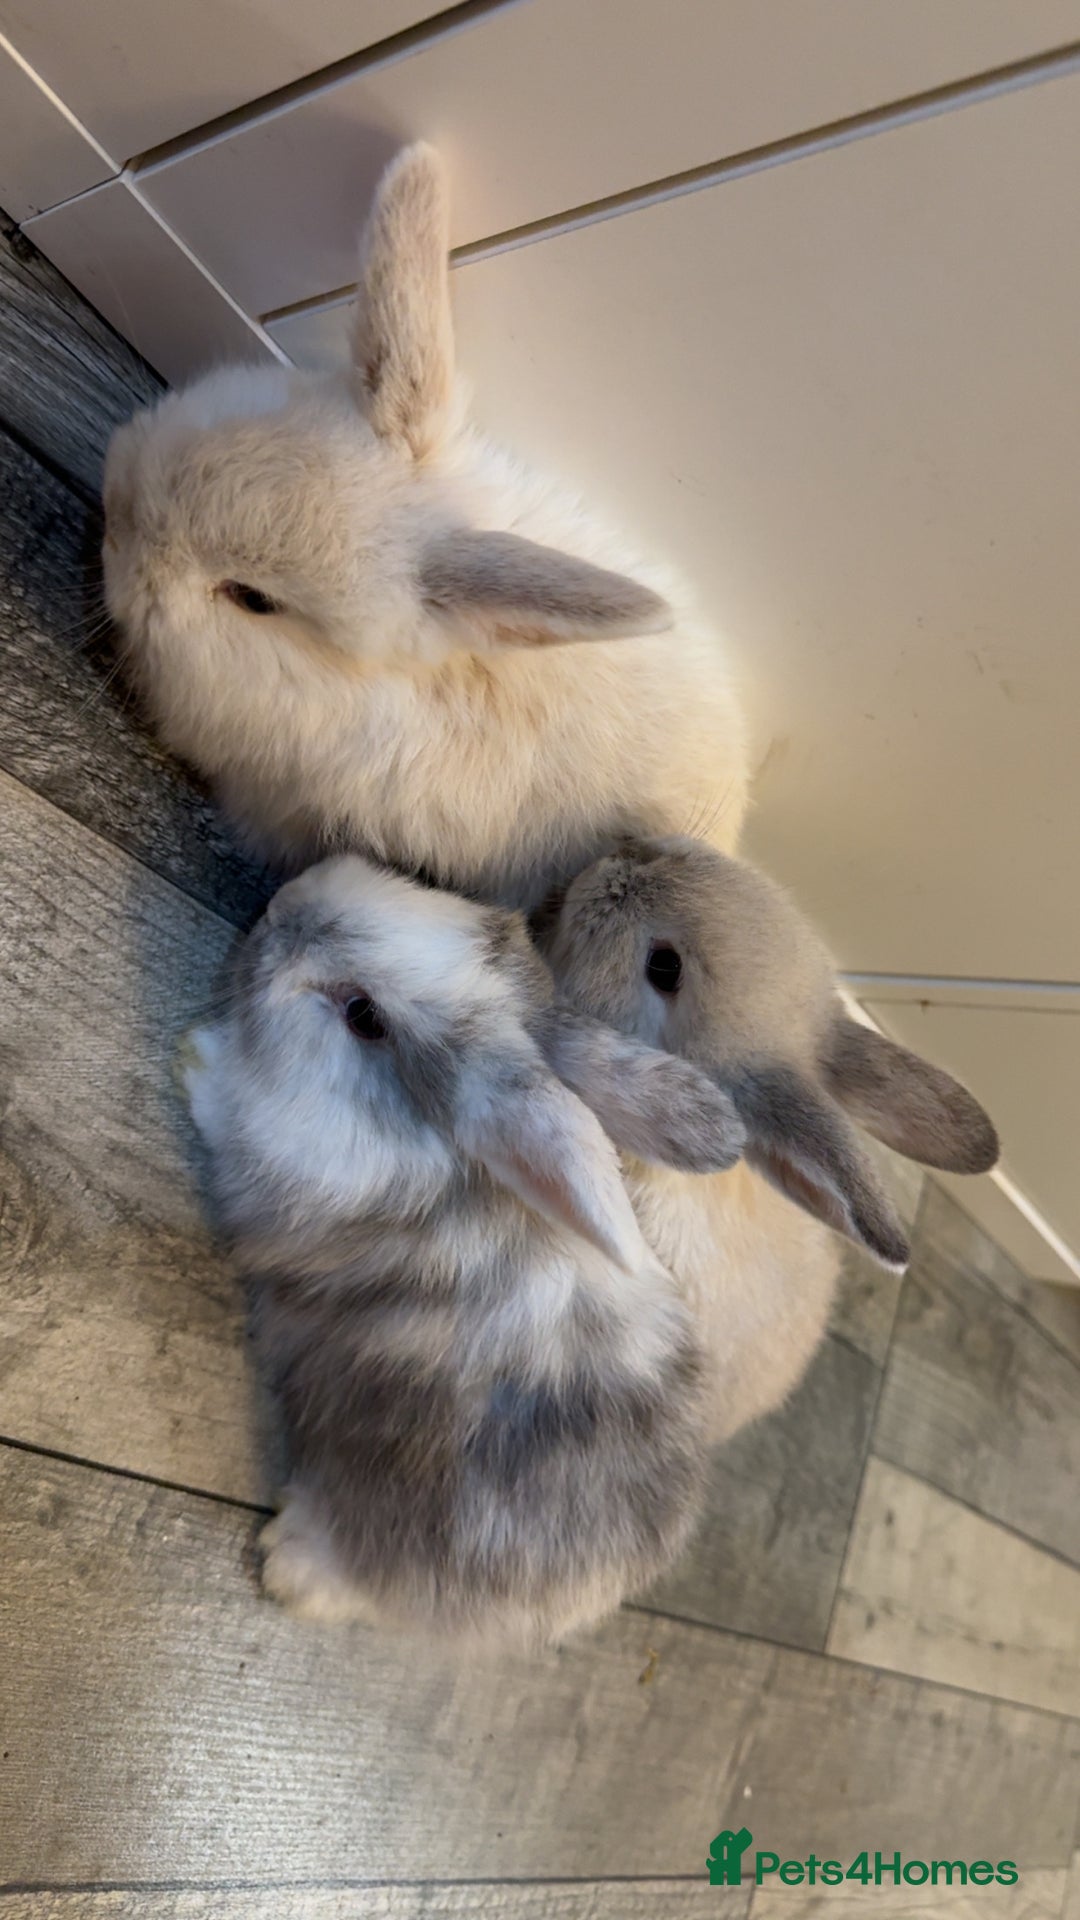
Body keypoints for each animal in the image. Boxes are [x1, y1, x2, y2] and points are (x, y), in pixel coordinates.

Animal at [180, 851, 748, 1646]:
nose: (283, 904)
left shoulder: (263, 1159)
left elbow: (221, 1108)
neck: (436, 1155)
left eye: (365, 1017)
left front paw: (195, 1060)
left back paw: (289, 1563)